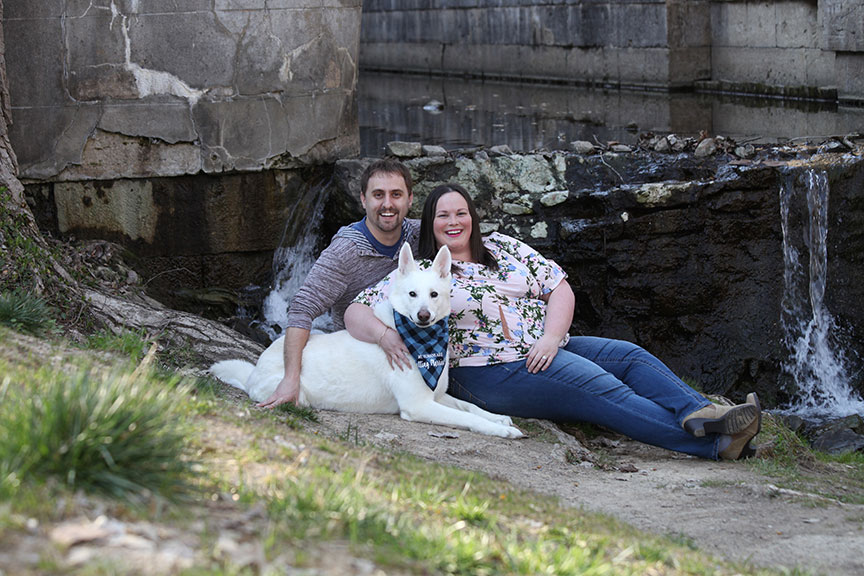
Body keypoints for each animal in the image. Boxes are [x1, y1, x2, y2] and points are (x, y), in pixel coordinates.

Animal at [211, 243, 520, 436]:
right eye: (412, 294)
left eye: (433, 294)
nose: (423, 316)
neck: (420, 340)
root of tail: (254, 372)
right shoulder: (419, 405)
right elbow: (468, 418)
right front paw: (500, 430)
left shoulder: (438, 395)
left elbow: (471, 407)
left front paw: (498, 418)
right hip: (297, 393)